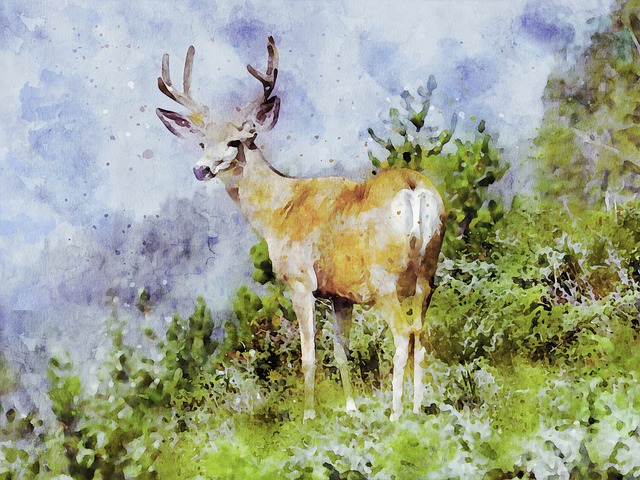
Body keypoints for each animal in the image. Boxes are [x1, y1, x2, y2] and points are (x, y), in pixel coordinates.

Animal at [156, 36, 446, 421]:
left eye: (235, 142)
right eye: (202, 143)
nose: (201, 169)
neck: (279, 211)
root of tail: (415, 190)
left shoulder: (299, 280)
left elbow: (308, 355)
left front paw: (309, 415)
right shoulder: (340, 294)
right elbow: (341, 351)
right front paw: (351, 408)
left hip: (385, 279)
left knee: (402, 335)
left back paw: (397, 414)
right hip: (428, 271)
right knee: (421, 334)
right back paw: (417, 407)